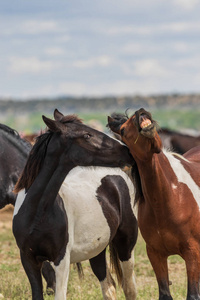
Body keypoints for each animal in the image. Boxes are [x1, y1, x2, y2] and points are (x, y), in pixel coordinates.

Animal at [12, 109, 138, 300]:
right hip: (97, 251)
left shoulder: (61, 260)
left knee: (129, 288)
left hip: (126, 246)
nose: (128, 151)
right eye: (86, 135)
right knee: (109, 287)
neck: (36, 214)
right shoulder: (28, 259)